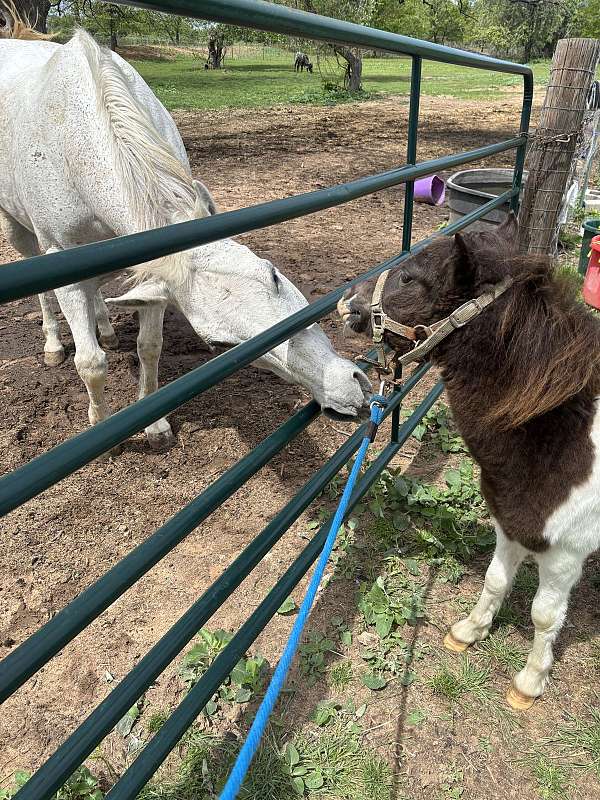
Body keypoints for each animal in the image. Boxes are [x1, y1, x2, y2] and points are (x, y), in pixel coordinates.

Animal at [0, 25, 370, 450]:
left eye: (273, 275)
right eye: (219, 346)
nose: (350, 390)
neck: (78, 139)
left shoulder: (152, 272)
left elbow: (149, 347)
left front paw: (156, 425)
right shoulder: (64, 259)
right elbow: (90, 363)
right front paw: (101, 426)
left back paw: (106, 330)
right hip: (22, 236)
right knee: (45, 293)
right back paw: (53, 346)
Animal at [338, 213, 600, 710]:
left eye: (410, 278)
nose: (348, 302)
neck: (562, 438)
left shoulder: (565, 553)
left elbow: (544, 615)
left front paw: (529, 682)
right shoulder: (510, 522)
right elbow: (496, 580)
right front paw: (469, 632)